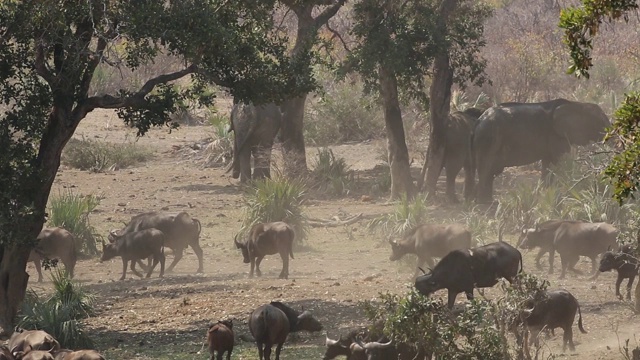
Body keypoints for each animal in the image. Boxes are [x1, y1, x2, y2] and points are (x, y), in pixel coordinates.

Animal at [472, 98, 608, 204]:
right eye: (600, 122)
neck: (577, 104)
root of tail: (479, 120)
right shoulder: (555, 135)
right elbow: (555, 161)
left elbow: (548, 163)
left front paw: (546, 194)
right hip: (489, 138)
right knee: (487, 171)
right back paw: (485, 207)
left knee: (489, 174)